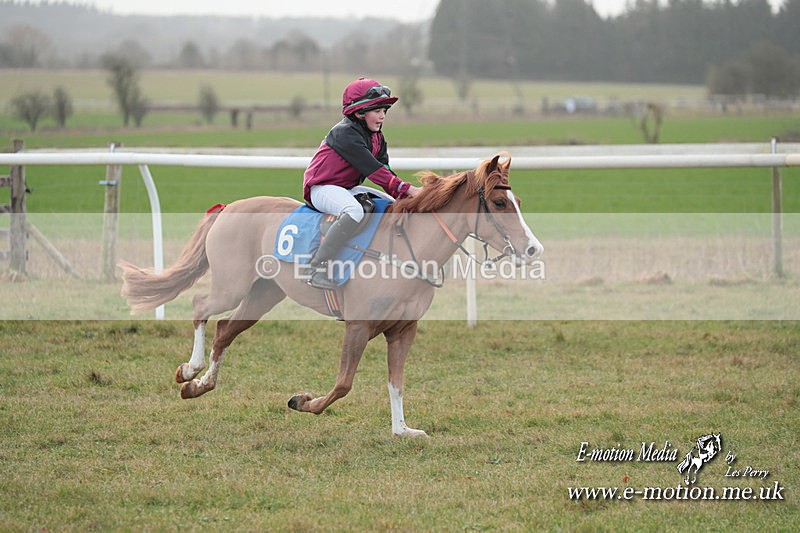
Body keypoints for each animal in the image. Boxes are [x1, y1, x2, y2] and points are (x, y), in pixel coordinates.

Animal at [119, 154, 543, 437]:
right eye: (500, 203)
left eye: (519, 202)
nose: (532, 249)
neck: (406, 250)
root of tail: (228, 208)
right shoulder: (357, 326)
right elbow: (343, 384)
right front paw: (303, 401)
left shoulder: (402, 330)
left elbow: (396, 382)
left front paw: (402, 429)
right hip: (232, 285)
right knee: (200, 307)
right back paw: (190, 370)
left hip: (263, 295)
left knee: (225, 330)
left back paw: (200, 385)